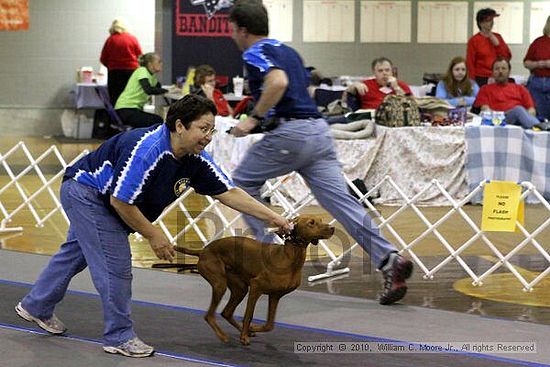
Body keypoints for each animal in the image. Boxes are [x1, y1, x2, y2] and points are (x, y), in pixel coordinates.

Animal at [177, 216, 334, 344]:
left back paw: (244, 331)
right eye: (311, 223)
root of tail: (203, 250)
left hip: (240, 289)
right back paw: (224, 335)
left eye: (321, 220)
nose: (332, 228)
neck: (289, 258)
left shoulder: (275, 296)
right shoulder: (256, 287)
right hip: (220, 284)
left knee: (226, 312)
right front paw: (244, 337)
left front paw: (251, 330)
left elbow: (270, 325)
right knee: (209, 315)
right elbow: (249, 315)